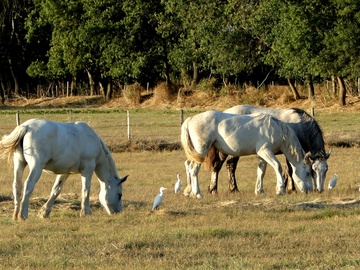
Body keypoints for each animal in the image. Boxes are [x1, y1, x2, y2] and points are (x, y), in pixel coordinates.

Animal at [0, 119, 129, 220]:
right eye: (119, 195)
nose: (118, 212)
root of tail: (26, 127)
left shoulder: (65, 172)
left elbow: (56, 190)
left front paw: (44, 213)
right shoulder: (88, 168)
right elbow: (86, 189)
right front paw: (86, 212)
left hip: (19, 163)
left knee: (17, 185)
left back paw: (15, 215)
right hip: (36, 166)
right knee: (28, 185)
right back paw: (23, 214)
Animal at [180, 110, 312, 197]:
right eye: (307, 173)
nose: (309, 191)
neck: (276, 128)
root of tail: (190, 119)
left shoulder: (262, 155)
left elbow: (261, 171)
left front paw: (259, 191)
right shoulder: (266, 151)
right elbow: (277, 166)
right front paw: (280, 190)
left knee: (189, 166)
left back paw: (190, 192)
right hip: (201, 151)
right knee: (194, 170)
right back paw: (198, 194)